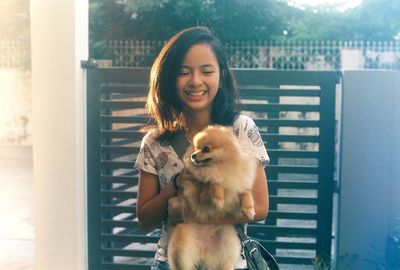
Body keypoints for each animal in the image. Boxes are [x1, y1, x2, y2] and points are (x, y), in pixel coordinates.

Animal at [167, 125, 258, 270]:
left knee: (226, 263)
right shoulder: (201, 188)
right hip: (182, 248)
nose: (193, 155)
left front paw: (249, 210)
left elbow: (246, 194)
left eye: (206, 149)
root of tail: (204, 254)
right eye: (196, 148)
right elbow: (215, 183)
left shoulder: (241, 181)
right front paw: (218, 200)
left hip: (229, 243)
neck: (222, 165)